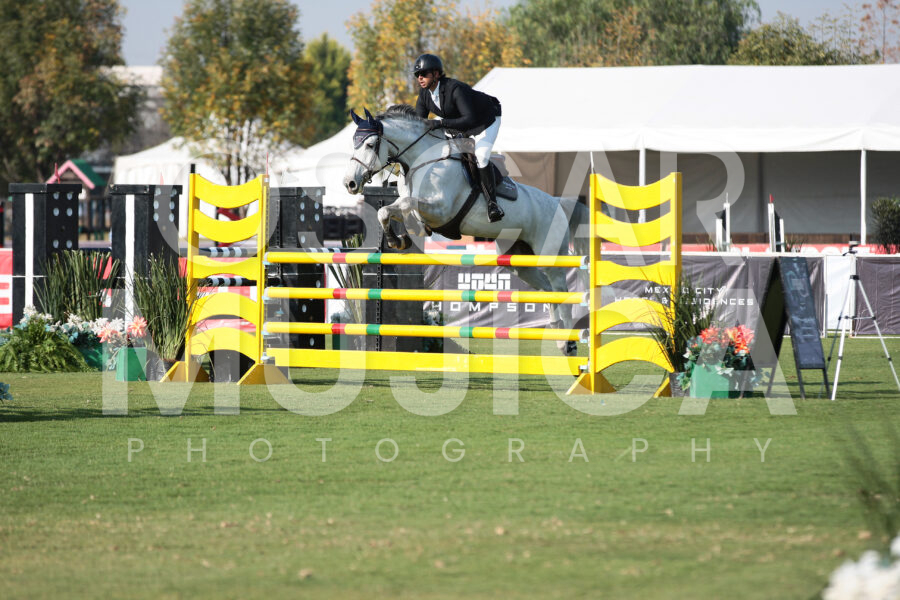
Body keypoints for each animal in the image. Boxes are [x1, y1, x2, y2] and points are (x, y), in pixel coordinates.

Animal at [342, 105, 588, 355]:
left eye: (370, 144)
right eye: (354, 143)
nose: (349, 183)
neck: (422, 161)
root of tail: (558, 203)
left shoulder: (441, 209)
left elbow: (406, 204)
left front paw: (401, 236)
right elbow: (387, 211)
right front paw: (398, 240)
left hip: (550, 256)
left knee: (562, 292)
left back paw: (569, 342)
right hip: (521, 263)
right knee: (548, 290)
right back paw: (559, 337)